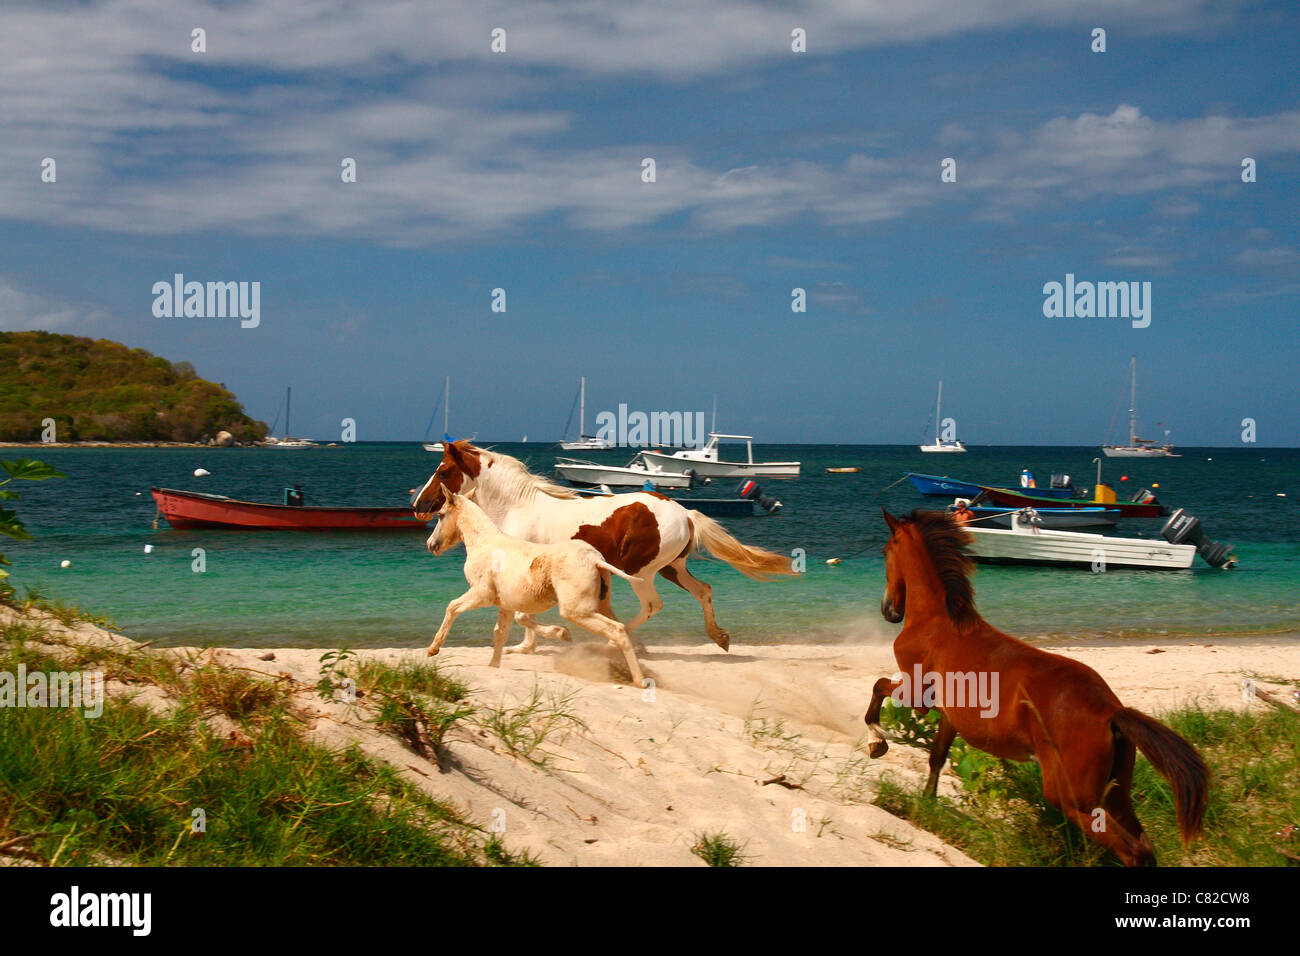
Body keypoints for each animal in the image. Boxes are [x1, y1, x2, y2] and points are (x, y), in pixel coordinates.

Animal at [413, 442, 790, 655]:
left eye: (443, 471)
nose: (418, 505)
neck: (517, 507)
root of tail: (685, 512)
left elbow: (524, 613)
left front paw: (537, 643)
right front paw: (527, 646)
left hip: (640, 571)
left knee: (652, 605)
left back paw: (618, 640)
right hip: (672, 567)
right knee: (703, 590)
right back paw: (719, 637)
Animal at [426, 494, 650, 686]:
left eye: (440, 514)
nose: (431, 545)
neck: (484, 543)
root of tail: (594, 559)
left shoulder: (482, 594)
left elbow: (452, 607)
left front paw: (433, 649)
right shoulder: (506, 604)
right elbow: (501, 633)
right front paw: (493, 666)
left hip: (575, 611)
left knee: (617, 630)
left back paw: (639, 680)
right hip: (598, 606)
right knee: (621, 627)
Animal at [863, 509, 1206, 868]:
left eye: (886, 551)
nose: (889, 611)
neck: (935, 622)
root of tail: (1111, 711)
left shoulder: (919, 696)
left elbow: (878, 687)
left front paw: (877, 743)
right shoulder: (949, 715)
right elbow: (937, 758)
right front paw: (926, 805)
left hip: (1073, 799)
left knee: (1134, 851)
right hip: (1116, 794)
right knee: (1145, 846)